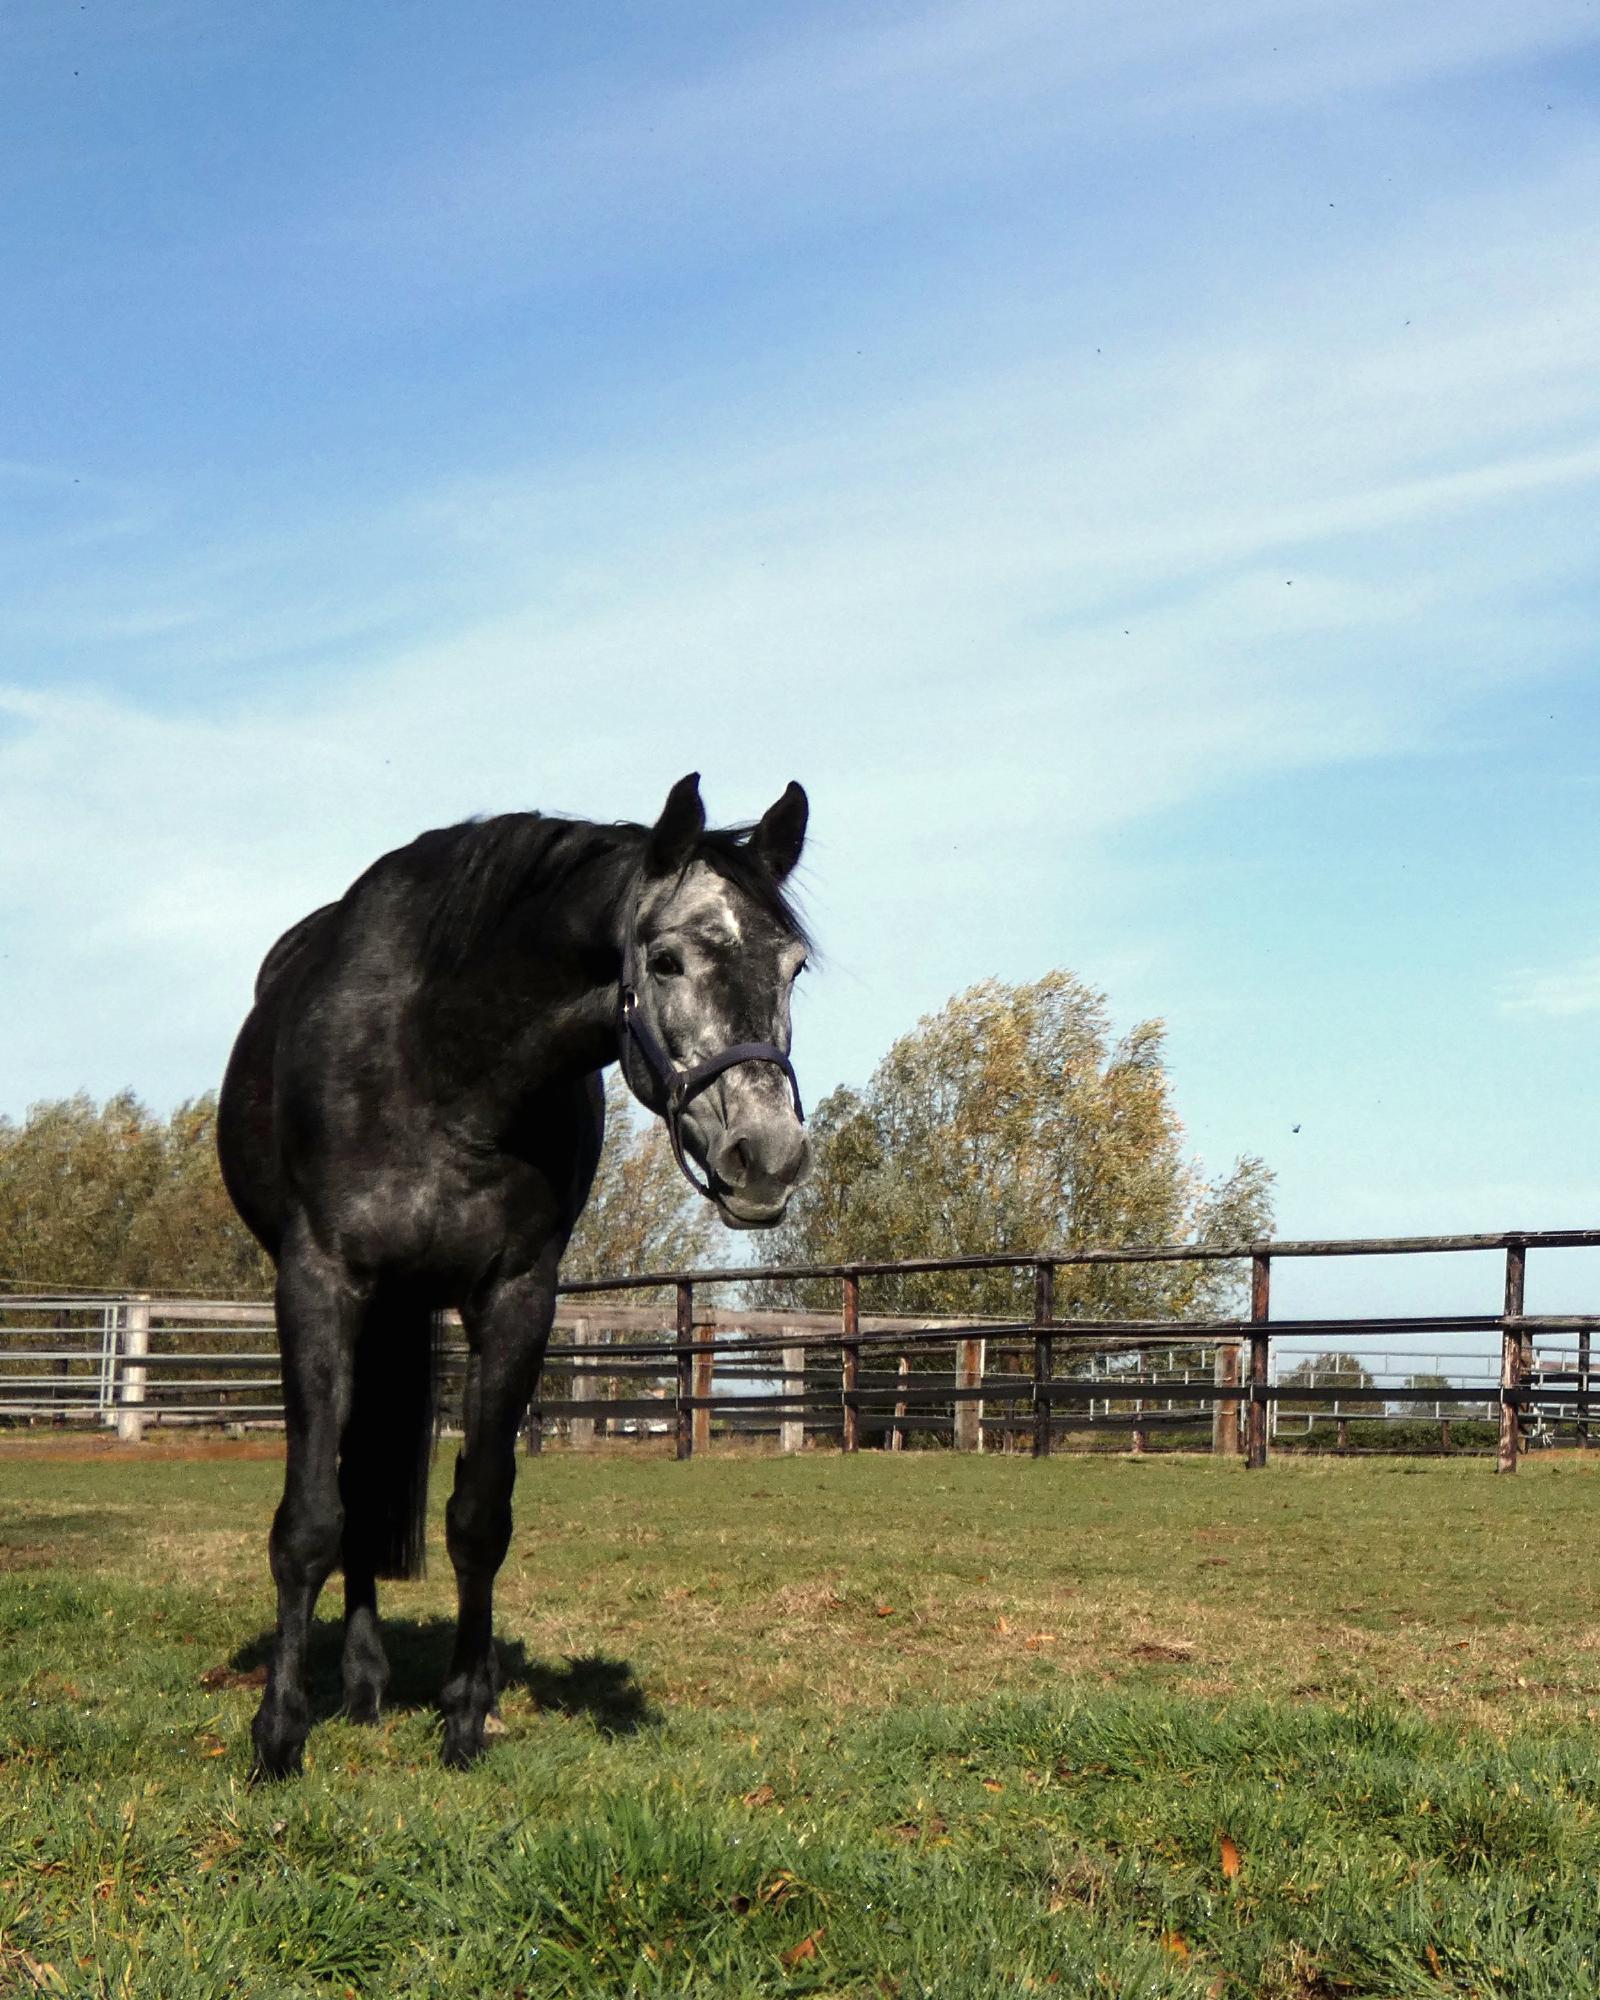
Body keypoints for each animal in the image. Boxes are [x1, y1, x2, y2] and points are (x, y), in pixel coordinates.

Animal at [216, 773, 811, 1776]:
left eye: (796, 966)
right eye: (664, 960)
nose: (766, 1157)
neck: (442, 1062)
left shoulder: (518, 1297)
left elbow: (478, 1518)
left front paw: (464, 1717)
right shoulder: (317, 1283)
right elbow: (307, 1522)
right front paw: (277, 1737)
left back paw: (377, 1683)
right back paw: (355, 1686)